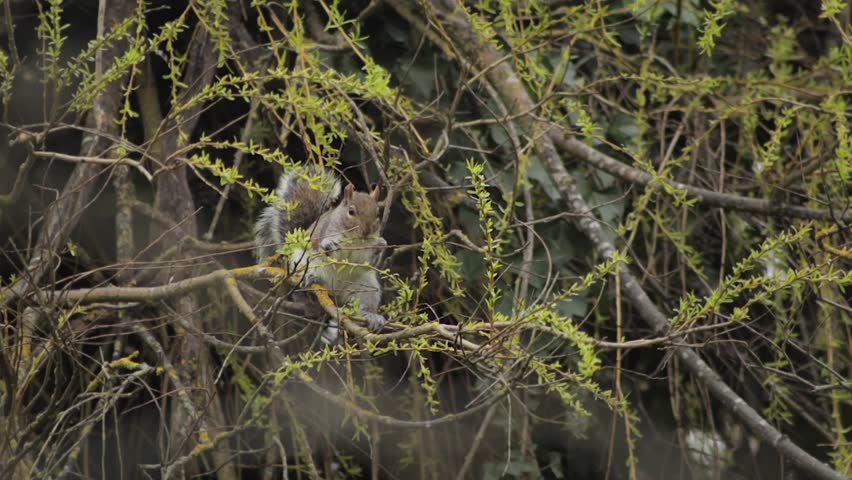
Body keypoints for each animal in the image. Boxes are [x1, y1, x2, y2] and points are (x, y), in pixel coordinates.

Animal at [254, 164, 387, 342]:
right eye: (351, 211)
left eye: (378, 213)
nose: (366, 232)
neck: (355, 240)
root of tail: (335, 295)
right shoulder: (326, 231)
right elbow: (330, 250)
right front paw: (329, 244)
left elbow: (369, 262)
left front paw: (381, 244)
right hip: (300, 264)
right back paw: (312, 281)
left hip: (365, 288)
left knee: (362, 305)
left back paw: (371, 316)